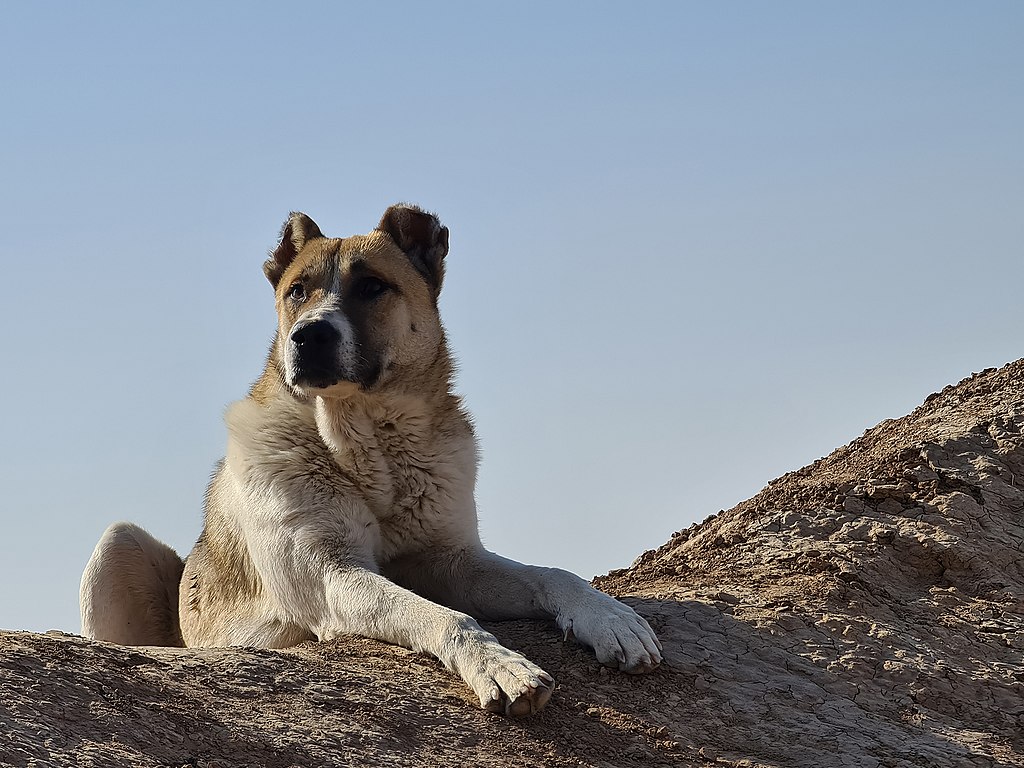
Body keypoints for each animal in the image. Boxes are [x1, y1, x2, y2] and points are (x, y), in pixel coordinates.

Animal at [75, 204, 659, 716]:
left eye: (373, 286)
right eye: (297, 291)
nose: (308, 335)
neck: (372, 446)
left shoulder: (449, 560)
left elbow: (551, 574)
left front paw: (611, 618)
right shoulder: (332, 576)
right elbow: (443, 616)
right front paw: (502, 667)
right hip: (118, 546)